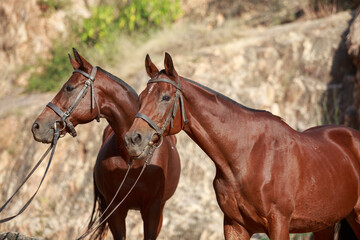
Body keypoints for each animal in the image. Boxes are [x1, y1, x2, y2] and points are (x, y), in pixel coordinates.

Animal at [124, 53, 360, 240]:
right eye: (142, 97)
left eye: (165, 97)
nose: (133, 139)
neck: (245, 157)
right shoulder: (234, 226)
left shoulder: (279, 224)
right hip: (324, 224)